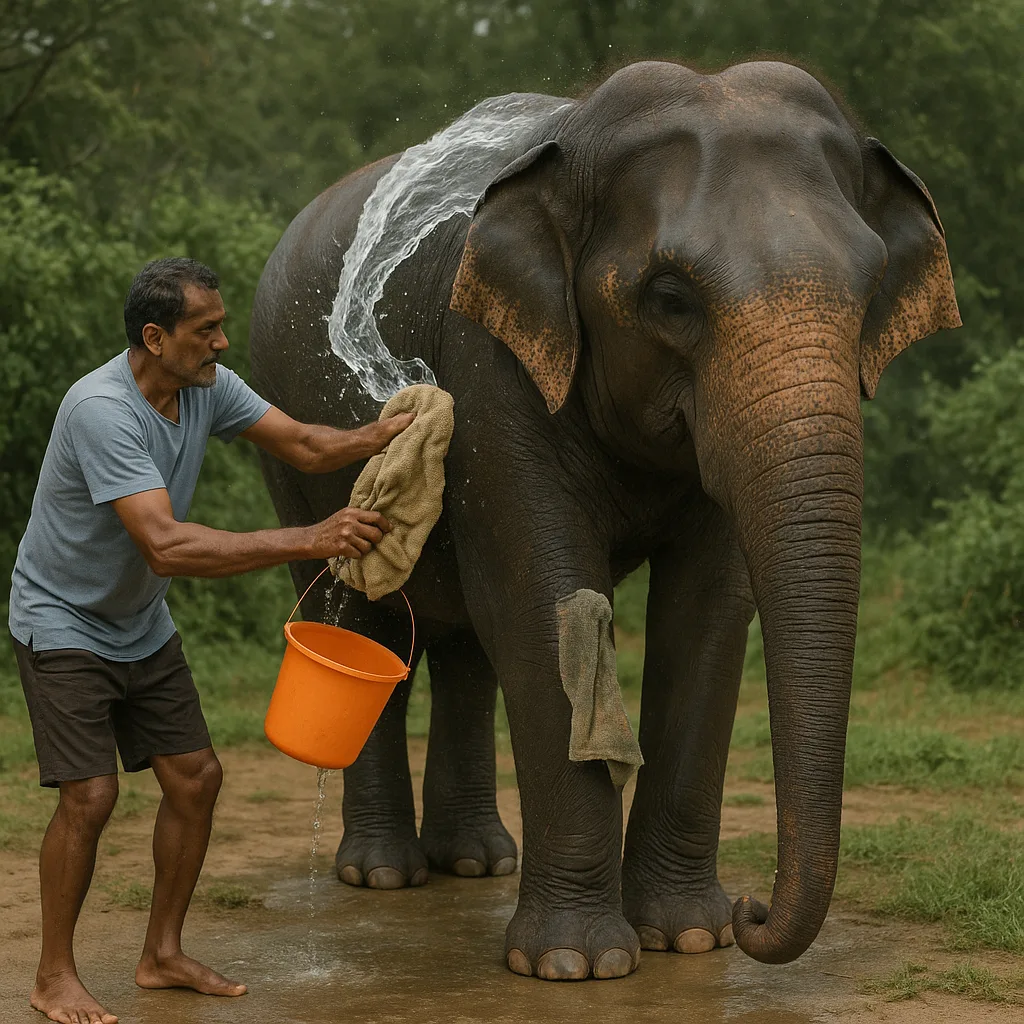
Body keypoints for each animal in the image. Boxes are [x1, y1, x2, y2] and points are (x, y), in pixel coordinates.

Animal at [250, 60, 960, 980]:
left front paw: (690, 937)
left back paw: (476, 862)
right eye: (670, 298)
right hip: (287, 438)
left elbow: (707, 613)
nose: (754, 908)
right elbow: (540, 597)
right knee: (363, 615)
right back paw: (382, 876)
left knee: (467, 645)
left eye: (871, 290)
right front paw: (576, 965)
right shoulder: (491, 364)